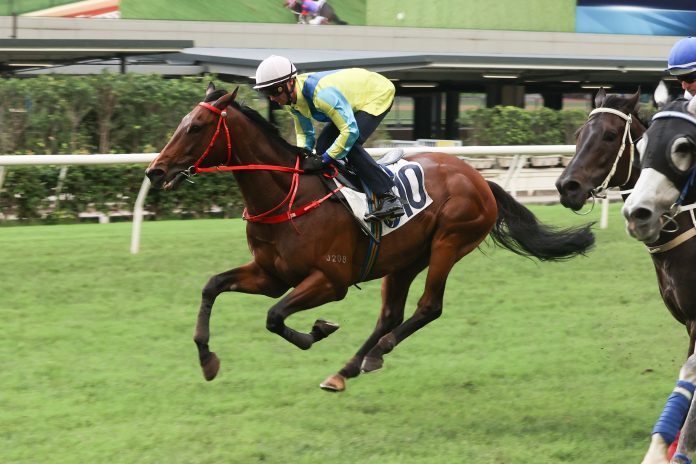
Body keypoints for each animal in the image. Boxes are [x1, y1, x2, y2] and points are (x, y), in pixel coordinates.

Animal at [145, 82, 592, 392]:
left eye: (196, 127)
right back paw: (345, 370)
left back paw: (376, 354)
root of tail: (479, 177)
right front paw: (207, 360)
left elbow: (275, 317)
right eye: (180, 124)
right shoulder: (271, 275)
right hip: (405, 258)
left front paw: (318, 330)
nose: (155, 171)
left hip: (450, 242)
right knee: (390, 314)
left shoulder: (331, 281)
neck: (288, 195)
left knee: (428, 307)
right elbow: (213, 286)